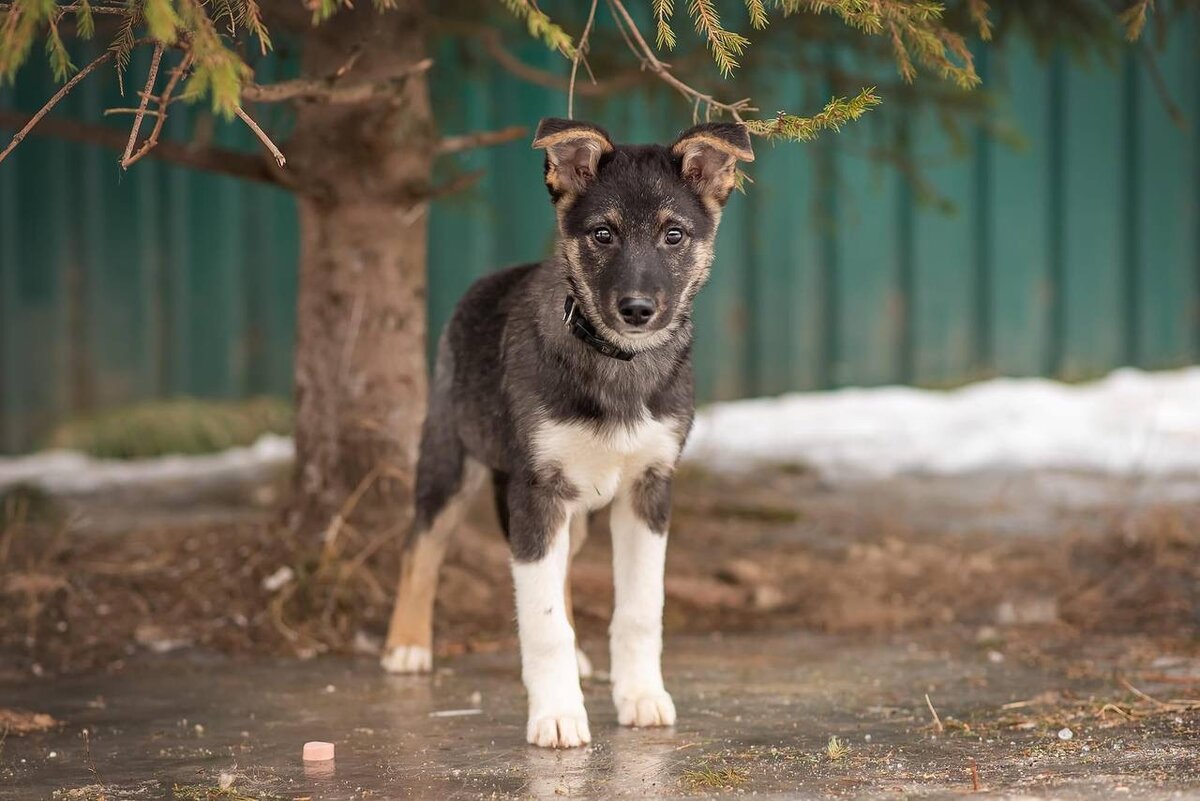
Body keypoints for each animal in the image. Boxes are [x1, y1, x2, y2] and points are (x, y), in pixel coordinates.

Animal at [379, 115, 753, 748]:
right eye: (602, 235)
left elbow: (639, 609)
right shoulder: (537, 491)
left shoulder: (650, 489)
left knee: (562, 573)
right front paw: (556, 713)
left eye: (674, 236)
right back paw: (406, 646)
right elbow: (542, 621)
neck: (617, 363)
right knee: (420, 545)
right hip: (453, 456)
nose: (637, 310)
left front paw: (641, 696)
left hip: (573, 509)